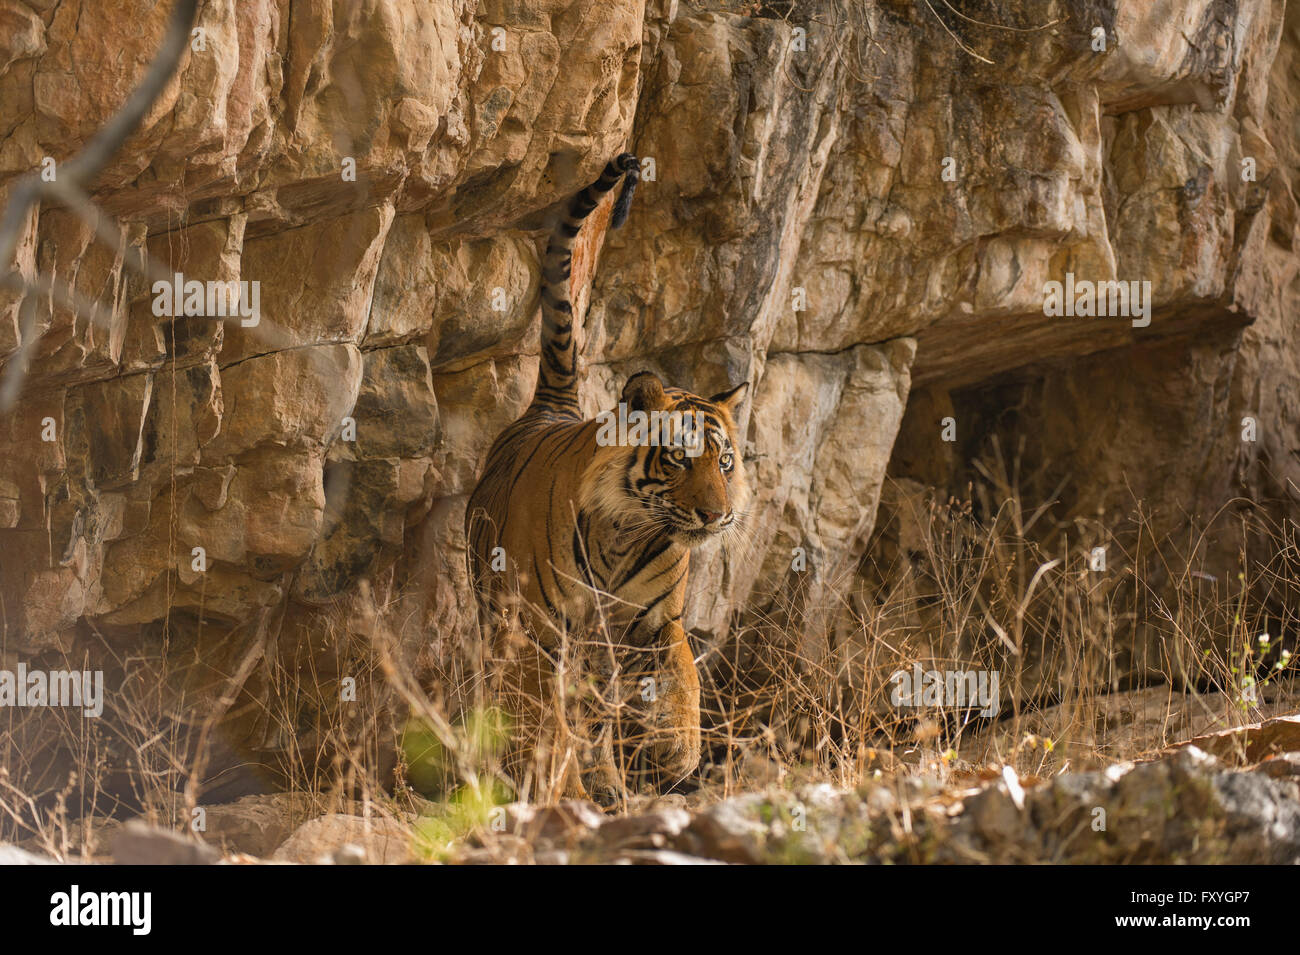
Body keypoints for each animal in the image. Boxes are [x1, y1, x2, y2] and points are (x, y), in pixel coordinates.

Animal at [467, 151, 754, 805]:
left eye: (725, 462)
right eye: (680, 458)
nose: (718, 515)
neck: (627, 532)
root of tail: (553, 407)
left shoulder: (655, 623)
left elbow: (683, 677)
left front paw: (677, 751)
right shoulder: (542, 633)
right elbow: (548, 722)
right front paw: (562, 788)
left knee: (595, 718)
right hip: (509, 626)